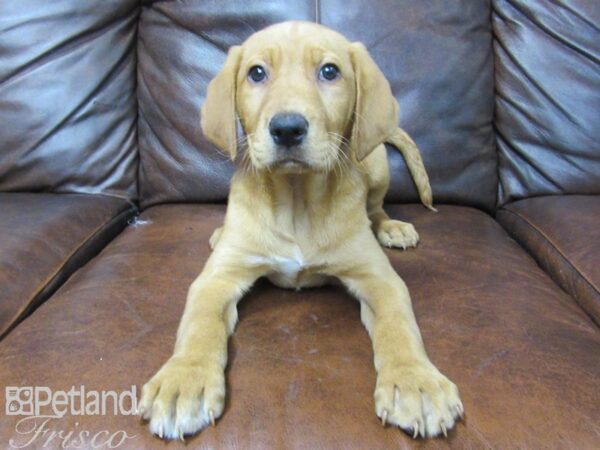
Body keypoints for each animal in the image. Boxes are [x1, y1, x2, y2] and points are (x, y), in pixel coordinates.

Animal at [141, 21, 464, 440]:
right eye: (256, 73)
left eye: (329, 71)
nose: (287, 129)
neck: (296, 202)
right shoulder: (217, 279)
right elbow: (200, 324)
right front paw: (184, 380)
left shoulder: (378, 278)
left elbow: (399, 326)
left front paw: (416, 382)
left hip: (374, 164)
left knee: (375, 207)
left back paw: (391, 227)